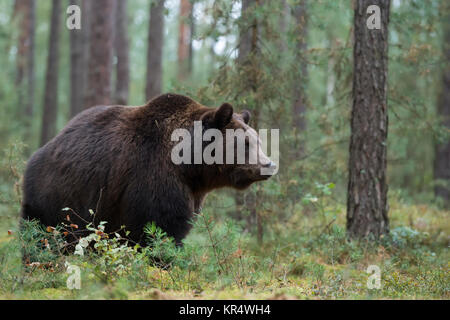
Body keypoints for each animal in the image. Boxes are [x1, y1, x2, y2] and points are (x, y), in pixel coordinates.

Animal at [22, 92, 276, 245]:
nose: (269, 164)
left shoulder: (191, 193)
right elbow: (157, 226)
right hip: (53, 197)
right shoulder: (151, 178)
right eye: (245, 143)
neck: (189, 168)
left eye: (258, 140)